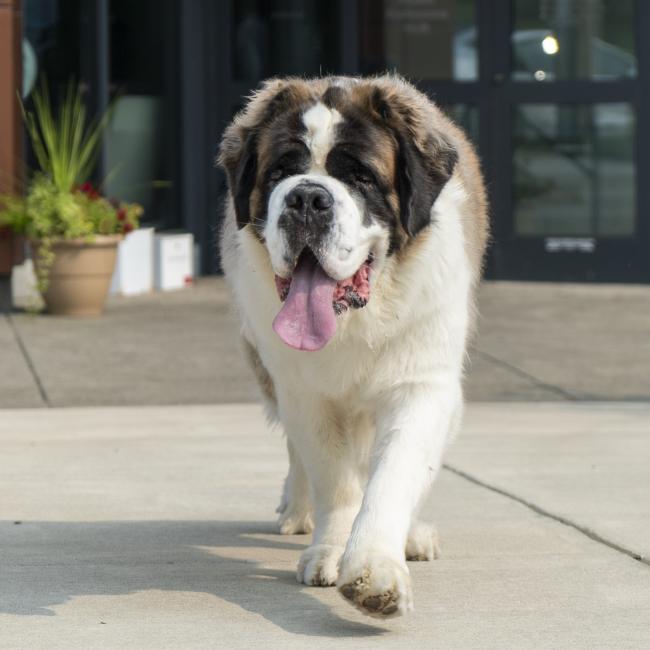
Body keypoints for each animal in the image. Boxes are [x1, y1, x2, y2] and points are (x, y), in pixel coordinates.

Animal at [218, 73, 486, 616]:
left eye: (360, 177)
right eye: (281, 171)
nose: (307, 199)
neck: (358, 318)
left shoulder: (422, 385)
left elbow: (394, 474)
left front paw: (374, 569)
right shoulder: (302, 392)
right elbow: (334, 477)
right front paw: (330, 548)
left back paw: (413, 536)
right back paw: (297, 509)